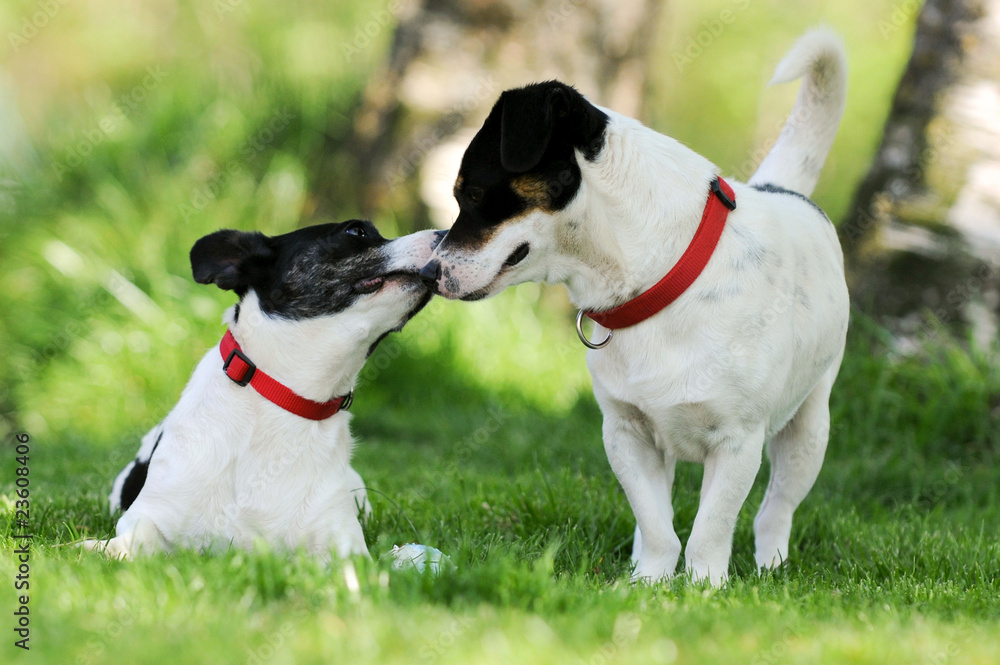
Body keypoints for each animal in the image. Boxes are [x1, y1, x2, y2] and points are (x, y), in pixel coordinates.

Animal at [418, 28, 848, 584]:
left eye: (471, 193)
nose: (428, 274)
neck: (660, 280)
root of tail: (782, 188)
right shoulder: (626, 434)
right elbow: (657, 524)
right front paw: (648, 584)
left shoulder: (738, 444)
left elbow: (711, 528)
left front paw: (705, 587)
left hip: (808, 431)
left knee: (777, 509)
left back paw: (771, 566)